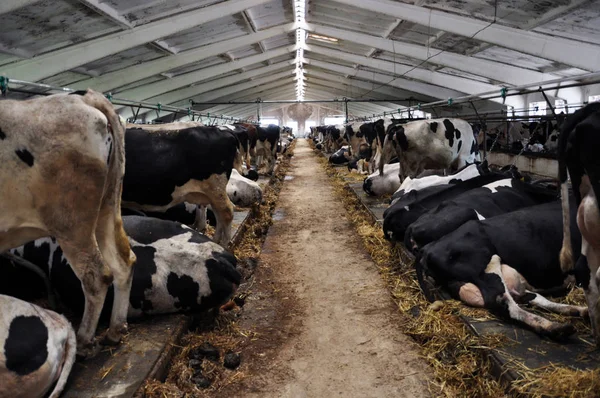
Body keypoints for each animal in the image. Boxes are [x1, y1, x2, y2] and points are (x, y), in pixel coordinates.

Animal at [0, 90, 135, 358]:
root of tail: (83, 97)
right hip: (107, 207)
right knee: (123, 261)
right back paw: (115, 331)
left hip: (72, 223)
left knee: (96, 275)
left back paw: (83, 341)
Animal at [418, 201, 584, 340]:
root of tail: (428, 249)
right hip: (486, 265)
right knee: (504, 302)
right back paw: (554, 327)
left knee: (530, 297)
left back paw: (576, 310)